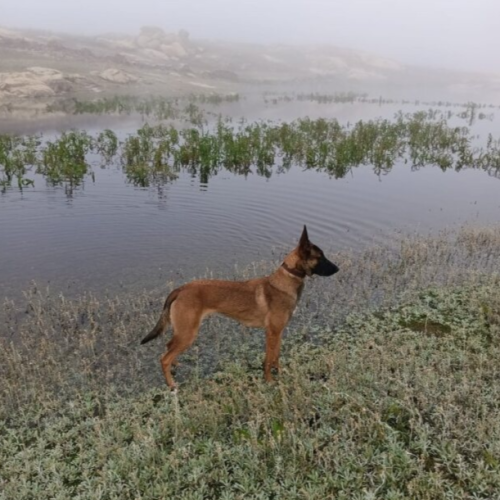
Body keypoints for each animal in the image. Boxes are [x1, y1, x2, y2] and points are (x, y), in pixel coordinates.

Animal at [139, 225, 338, 388]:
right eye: (320, 258)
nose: (337, 269)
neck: (284, 281)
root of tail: (180, 289)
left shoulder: (278, 332)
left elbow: (276, 356)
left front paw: (280, 373)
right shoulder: (272, 333)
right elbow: (268, 360)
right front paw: (269, 381)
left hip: (183, 332)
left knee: (168, 347)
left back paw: (176, 365)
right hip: (188, 333)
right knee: (164, 358)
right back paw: (171, 384)